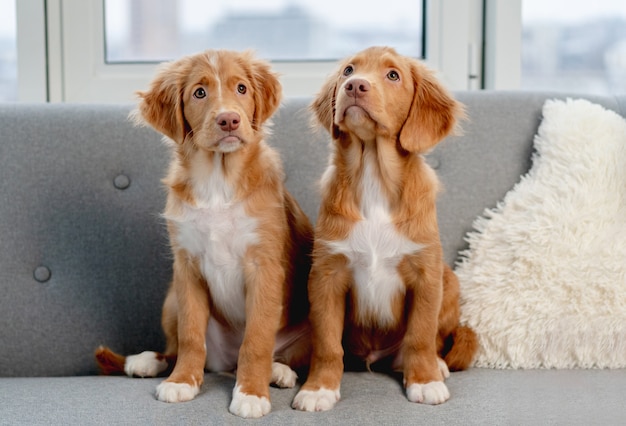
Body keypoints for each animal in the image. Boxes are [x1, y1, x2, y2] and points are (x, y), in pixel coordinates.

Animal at [94, 50, 312, 420]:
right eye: (199, 93)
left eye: (241, 88)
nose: (229, 120)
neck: (218, 181)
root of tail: (226, 362)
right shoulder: (187, 267)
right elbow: (191, 337)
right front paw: (182, 381)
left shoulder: (264, 267)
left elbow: (256, 339)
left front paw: (251, 393)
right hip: (171, 299)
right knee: (175, 348)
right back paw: (146, 361)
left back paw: (277, 371)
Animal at [290, 46, 476, 412]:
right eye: (348, 70)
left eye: (393, 75)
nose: (354, 86)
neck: (373, 175)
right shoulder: (326, 275)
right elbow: (327, 342)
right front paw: (319, 388)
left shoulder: (426, 274)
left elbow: (420, 335)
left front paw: (425, 380)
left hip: (450, 281)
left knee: (432, 341)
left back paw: (437, 365)